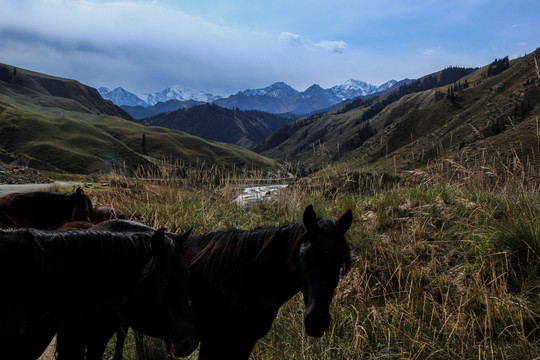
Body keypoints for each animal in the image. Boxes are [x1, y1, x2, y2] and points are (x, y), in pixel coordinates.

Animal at [57, 205, 352, 360]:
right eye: (303, 255)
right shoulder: (213, 342)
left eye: (340, 259)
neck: (245, 280)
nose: (317, 322)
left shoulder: (243, 343)